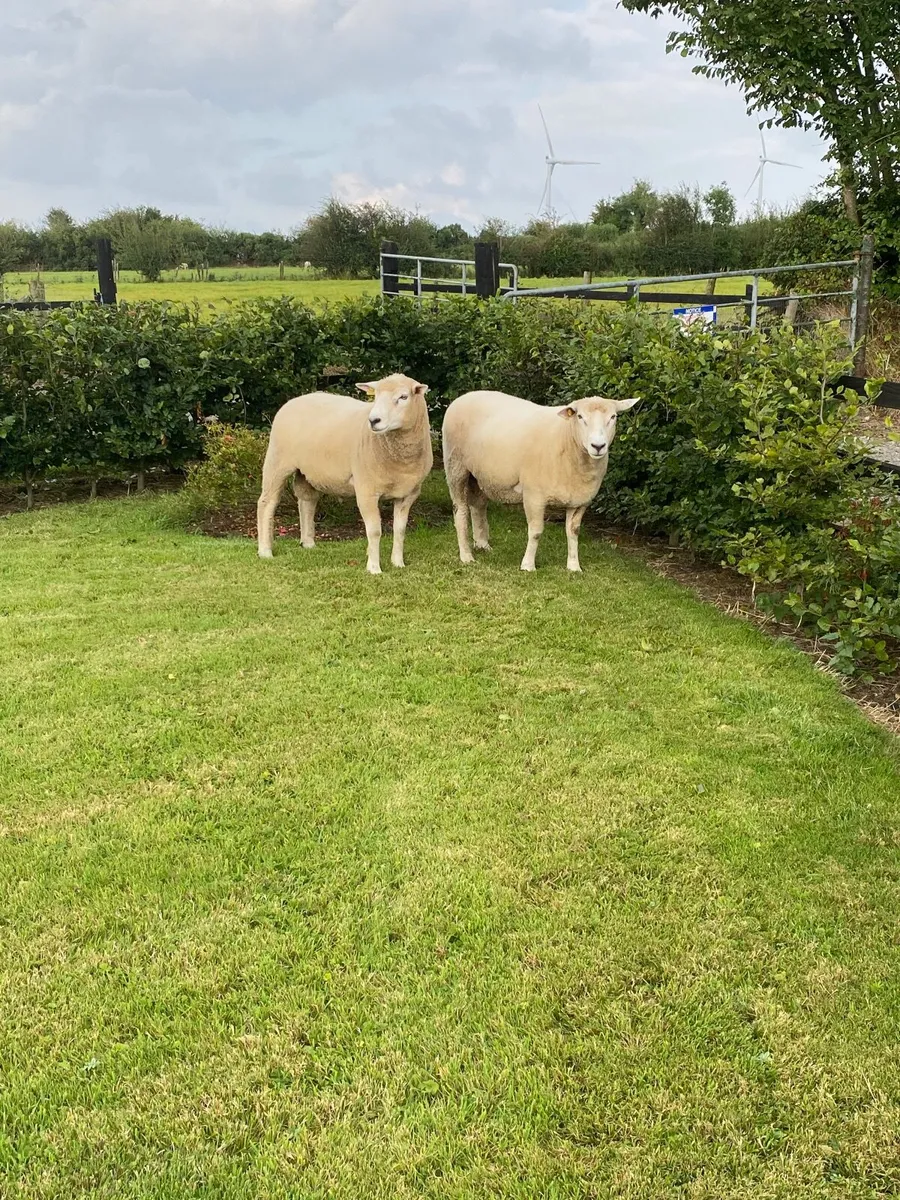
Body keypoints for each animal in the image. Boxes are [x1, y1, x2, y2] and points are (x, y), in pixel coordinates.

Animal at [257, 373, 432, 574]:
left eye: (403, 397)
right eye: (376, 396)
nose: (373, 420)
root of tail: (295, 400)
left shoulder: (409, 494)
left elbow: (400, 530)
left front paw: (398, 562)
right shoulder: (366, 491)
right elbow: (374, 530)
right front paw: (374, 568)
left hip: (307, 470)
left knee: (306, 500)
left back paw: (308, 543)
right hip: (277, 461)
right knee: (267, 502)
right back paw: (265, 550)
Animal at [442, 391, 639, 572]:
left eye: (613, 417)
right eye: (580, 416)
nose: (598, 446)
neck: (567, 439)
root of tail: (464, 396)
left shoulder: (580, 500)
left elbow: (573, 532)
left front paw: (574, 566)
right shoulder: (534, 495)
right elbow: (536, 532)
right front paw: (528, 565)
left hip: (480, 475)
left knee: (478, 505)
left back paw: (482, 544)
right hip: (455, 466)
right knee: (460, 509)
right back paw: (466, 555)